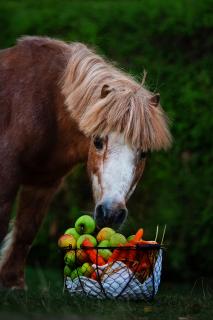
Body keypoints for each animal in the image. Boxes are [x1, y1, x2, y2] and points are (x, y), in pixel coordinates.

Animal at [0, 36, 171, 288]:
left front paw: (12, 283)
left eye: (144, 153)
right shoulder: (7, 177)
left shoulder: (44, 184)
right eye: (97, 141)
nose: (111, 213)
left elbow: (26, 231)